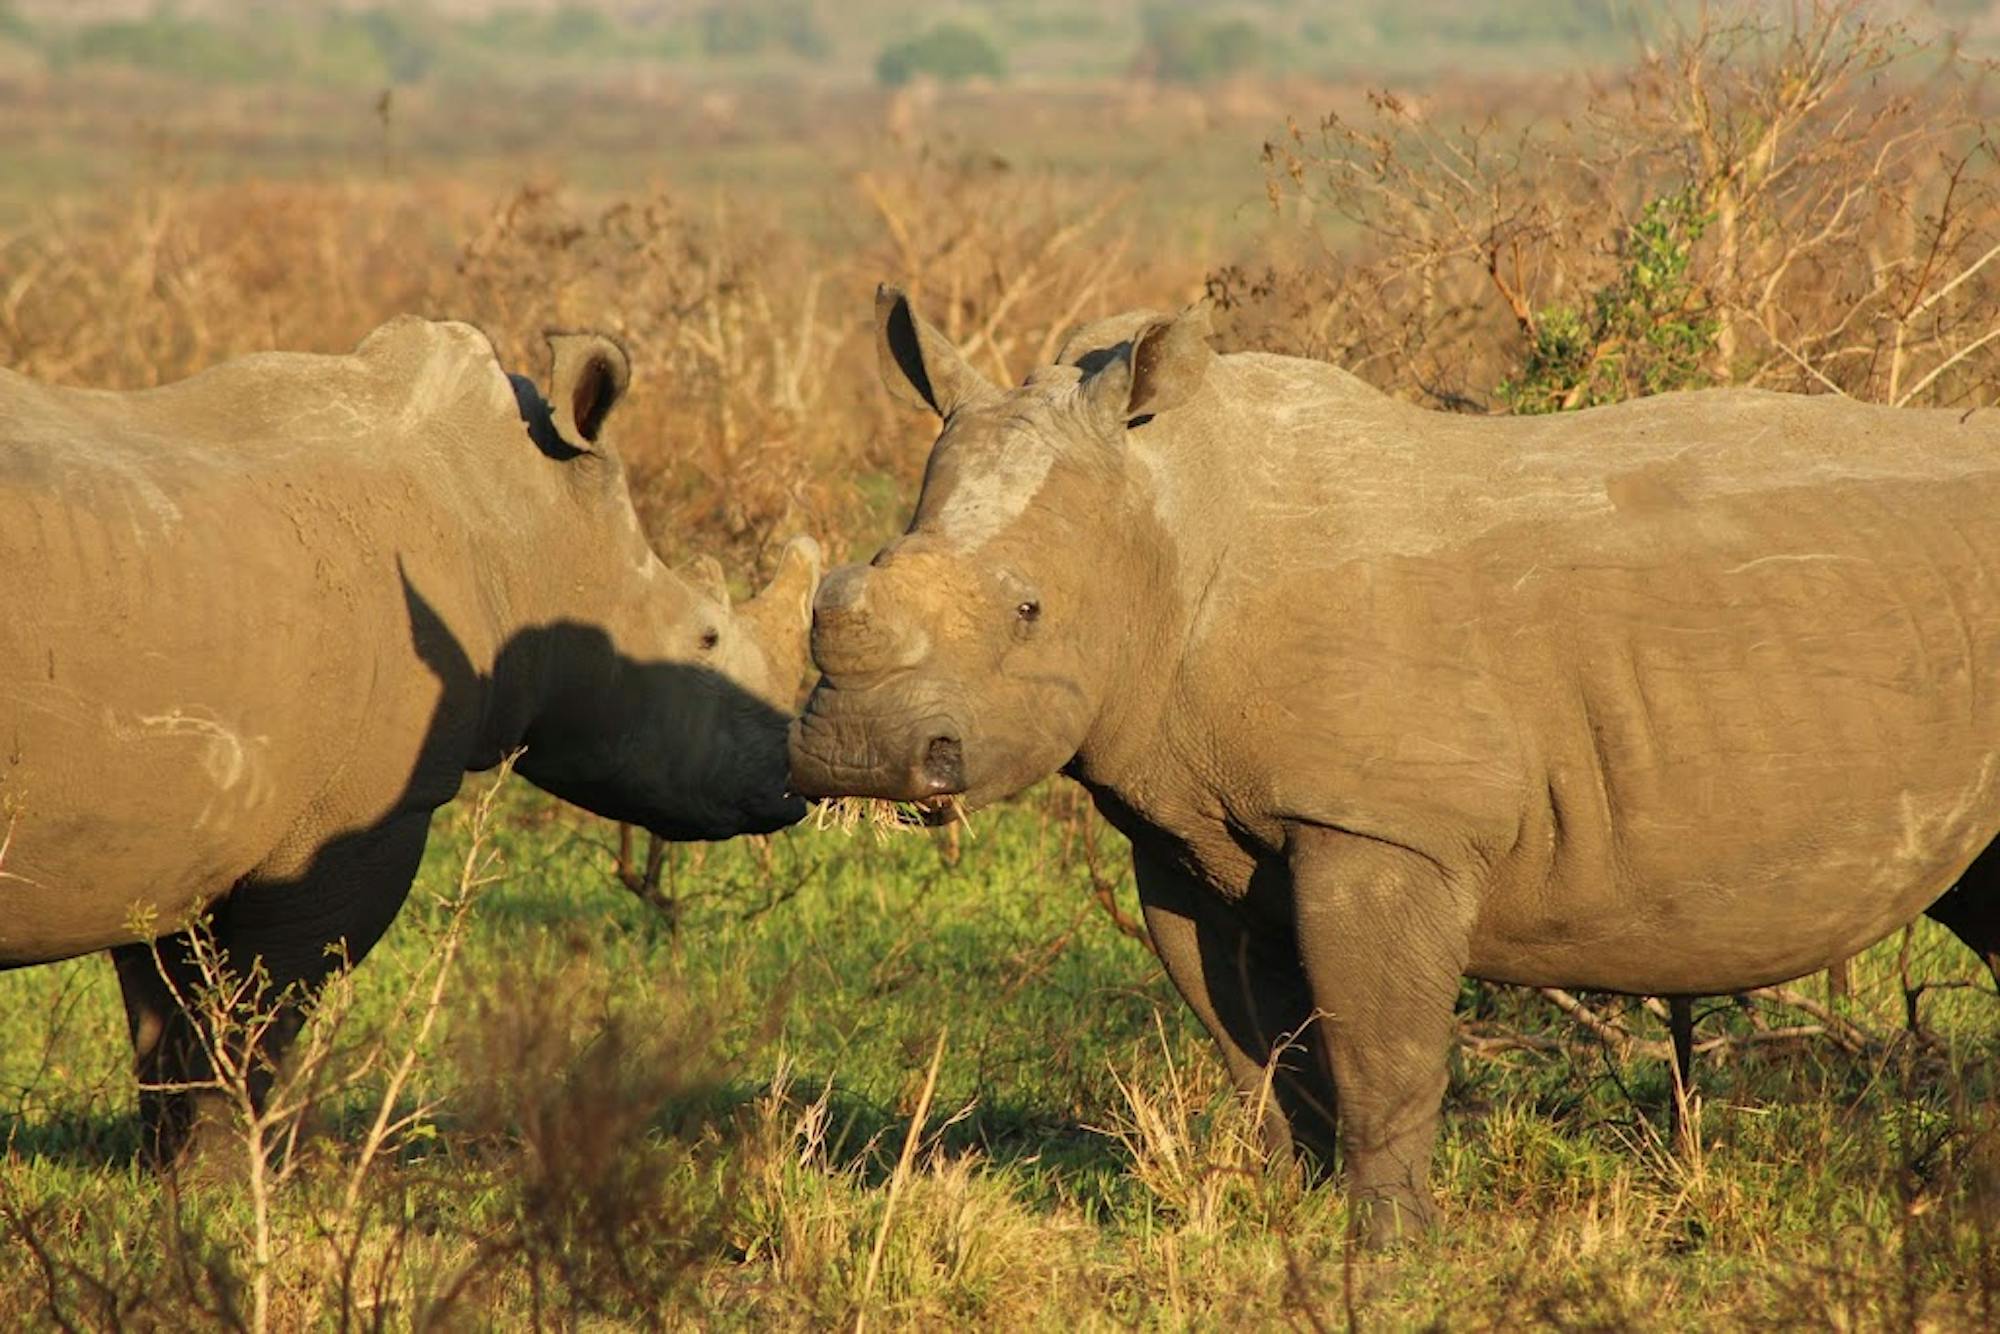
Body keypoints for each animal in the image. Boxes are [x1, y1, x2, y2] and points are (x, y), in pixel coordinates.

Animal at [1, 316, 820, 1157]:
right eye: (707, 639)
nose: (791, 792)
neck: (517, 528)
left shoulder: (171, 826)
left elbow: (168, 1016)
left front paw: (168, 1172)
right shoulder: (349, 814)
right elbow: (256, 1017)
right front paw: (228, 1173)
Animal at [790, 286, 2000, 1245]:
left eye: (1029, 611)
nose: (862, 752)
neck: (1170, 517)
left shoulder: (1378, 822)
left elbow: (1381, 1043)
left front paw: (1386, 1246)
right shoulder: (1187, 837)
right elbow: (1258, 1044)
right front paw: (1279, 1215)